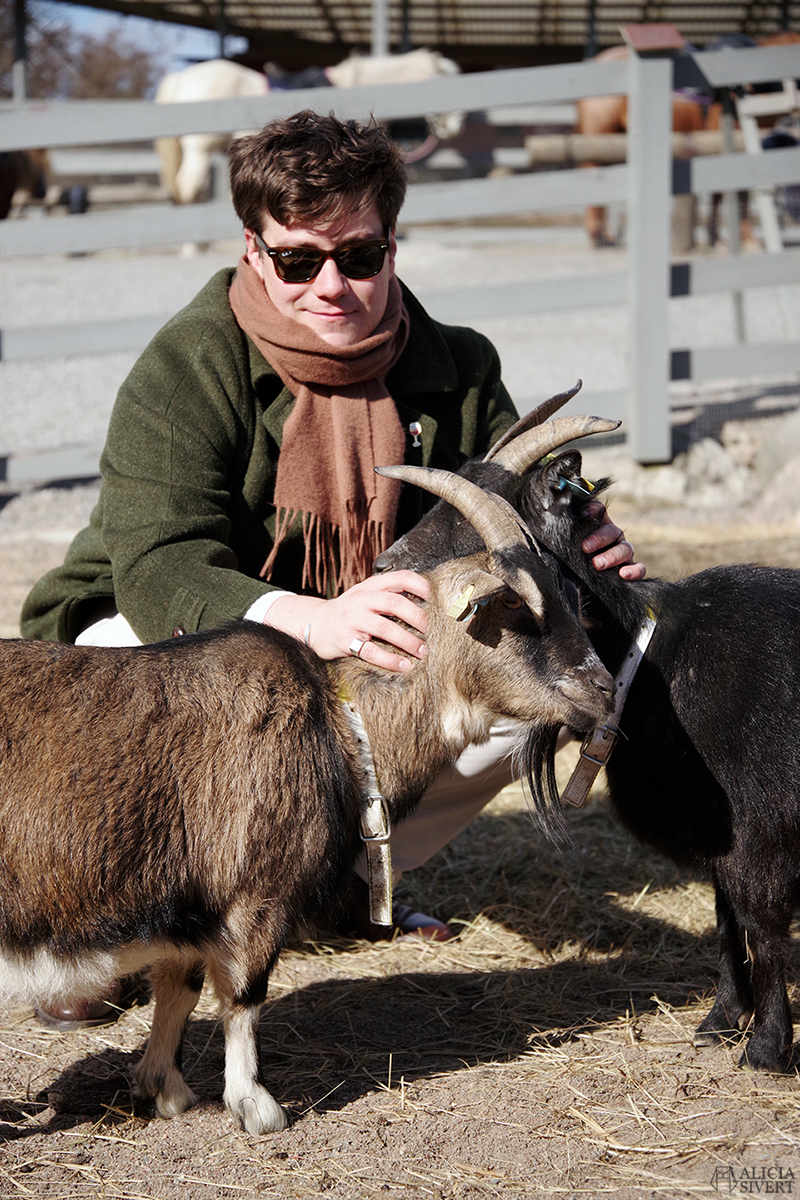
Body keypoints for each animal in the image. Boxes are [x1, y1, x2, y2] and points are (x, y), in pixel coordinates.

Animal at [0, 470, 614, 1132]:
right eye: (517, 606)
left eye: (574, 598)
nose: (604, 688)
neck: (340, 720)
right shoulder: (256, 894)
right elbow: (243, 993)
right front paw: (256, 1107)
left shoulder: (190, 905)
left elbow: (179, 985)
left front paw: (163, 1089)